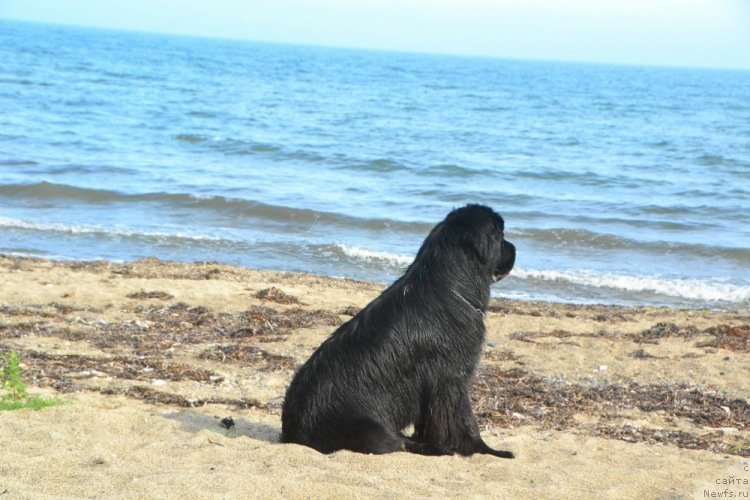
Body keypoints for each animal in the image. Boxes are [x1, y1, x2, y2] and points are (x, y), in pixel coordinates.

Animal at [282, 203, 516, 458]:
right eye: (500, 236)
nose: (514, 248)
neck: (453, 286)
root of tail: (291, 431)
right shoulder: (452, 378)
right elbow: (464, 420)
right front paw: (486, 450)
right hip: (370, 431)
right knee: (396, 442)